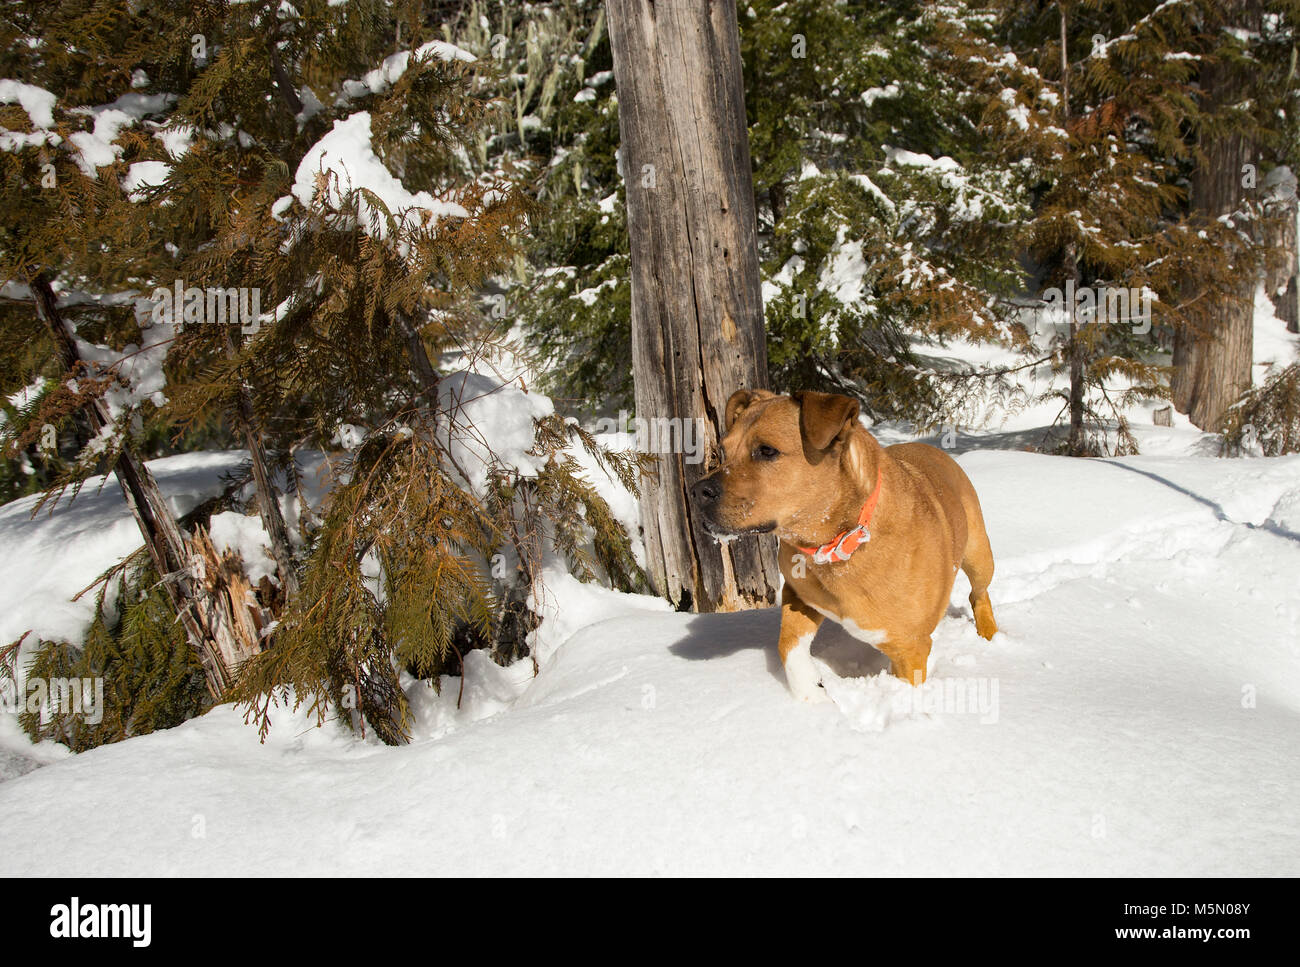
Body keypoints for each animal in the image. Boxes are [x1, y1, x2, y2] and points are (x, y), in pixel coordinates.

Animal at [691, 389, 993, 696]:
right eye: (722, 451)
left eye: (767, 451)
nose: (697, 491)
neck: (837, 544)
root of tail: (933, 449)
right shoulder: (798, 593)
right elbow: (788, 644)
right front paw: (812, 694)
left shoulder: (911, 649)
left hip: (978, 555)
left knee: (978, 593)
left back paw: (988, 635)